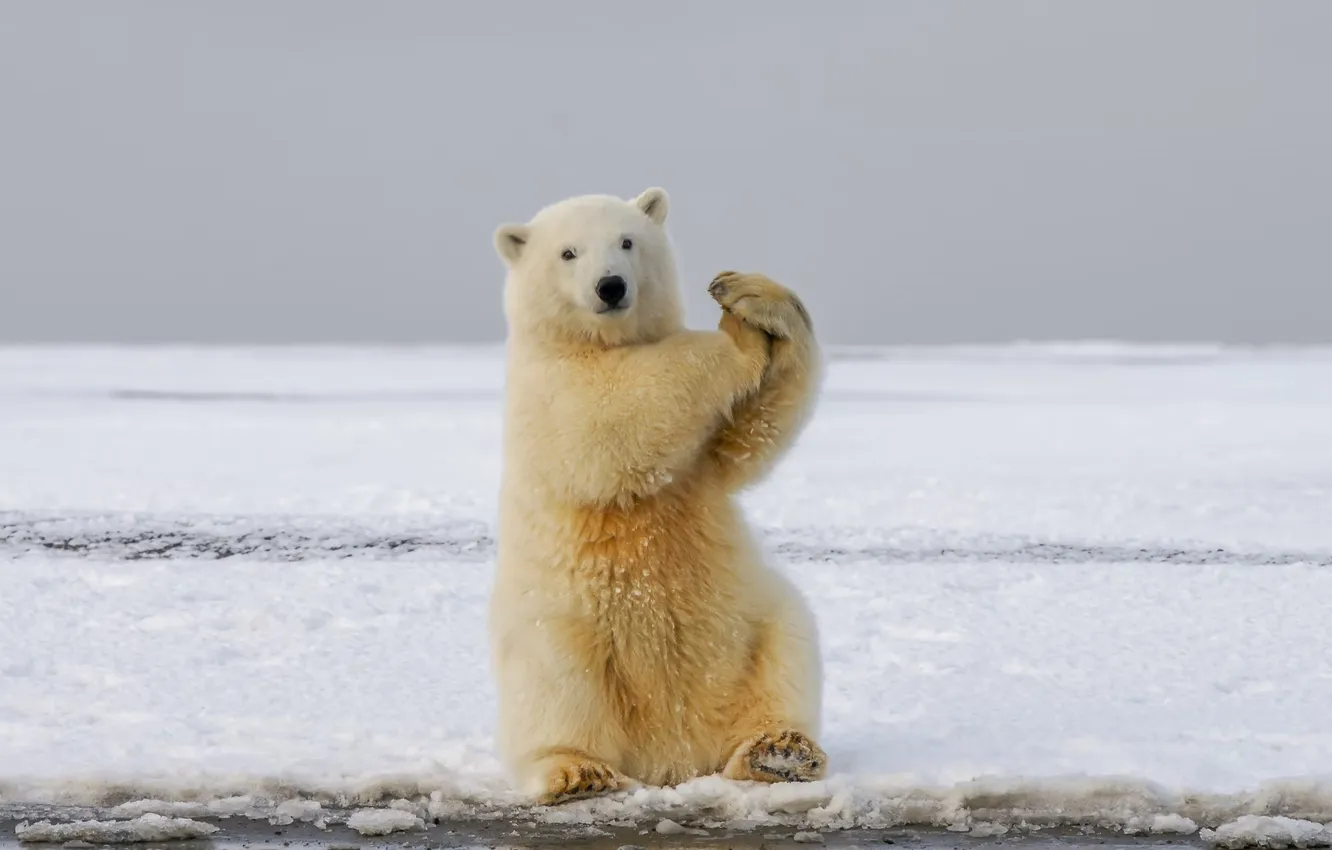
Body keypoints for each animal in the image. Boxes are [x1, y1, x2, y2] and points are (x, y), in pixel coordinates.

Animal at [489, 187, 825, 805]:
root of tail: (672, 756)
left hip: (753, 621)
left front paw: (748, 295)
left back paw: (779, 751)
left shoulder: (704, 462)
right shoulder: (548, 387)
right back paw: (579, 772)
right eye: (568, 252)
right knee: (557, 687)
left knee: (786, 649)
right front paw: (736, 337)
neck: (597, 342)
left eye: (627, 241)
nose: (611, 286)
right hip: (559, 627)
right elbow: (613, 412)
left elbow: (749, 436)